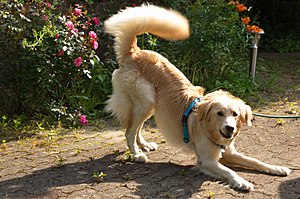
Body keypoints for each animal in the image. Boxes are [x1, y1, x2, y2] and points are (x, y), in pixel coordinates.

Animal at [104, 4, 292, 190]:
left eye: (235, 114)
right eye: (219, 113)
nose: (230, 128)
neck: (211, 131)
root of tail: (134, 52)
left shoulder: (230, 152)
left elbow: (255, 160)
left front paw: (277, 168)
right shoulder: (207, 160)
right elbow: (229, 171)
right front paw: (241, 181)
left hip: (149, 105)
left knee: (136, 128)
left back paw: (144, 145)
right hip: (144, 102)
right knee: (129, 131)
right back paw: (137, 154)